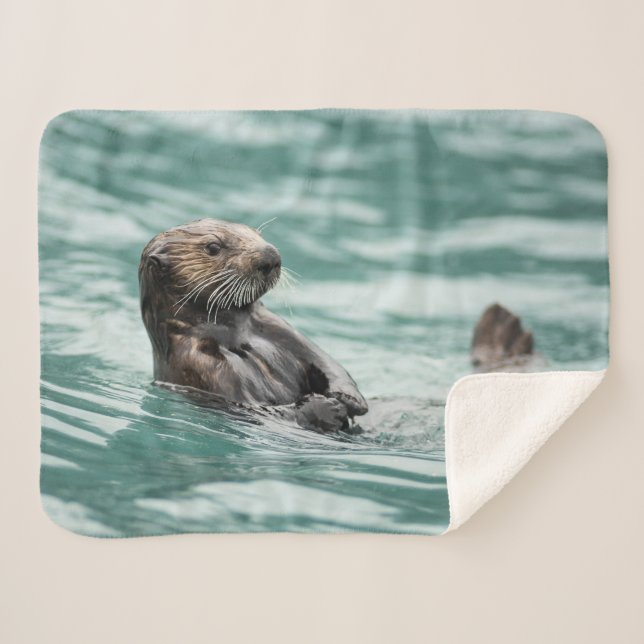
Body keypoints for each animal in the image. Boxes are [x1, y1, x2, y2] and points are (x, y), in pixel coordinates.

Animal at [139, 219, 368, 433]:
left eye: (257, 234)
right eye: (213, 247)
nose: (271, 255)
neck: (235, 335)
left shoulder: (278, 328)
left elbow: (325, 361)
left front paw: (349, 398)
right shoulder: (200, 365)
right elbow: (256, 409)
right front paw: (326, 408)